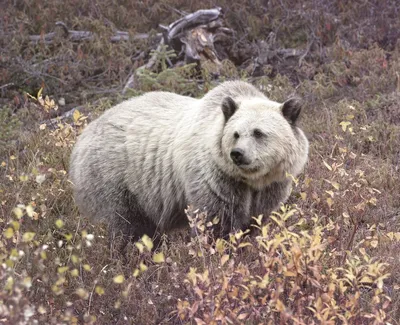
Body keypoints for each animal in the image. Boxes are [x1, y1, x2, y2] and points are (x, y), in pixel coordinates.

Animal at [69, 80, 310, 243]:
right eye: (236, 134)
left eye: (258, 133)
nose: (237, 154)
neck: (251, 181)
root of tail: (82, 137)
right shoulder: (215, 180)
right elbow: (216, 222)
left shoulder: (270, 188)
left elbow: (256, 221)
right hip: (115, 179)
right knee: (127, 226)